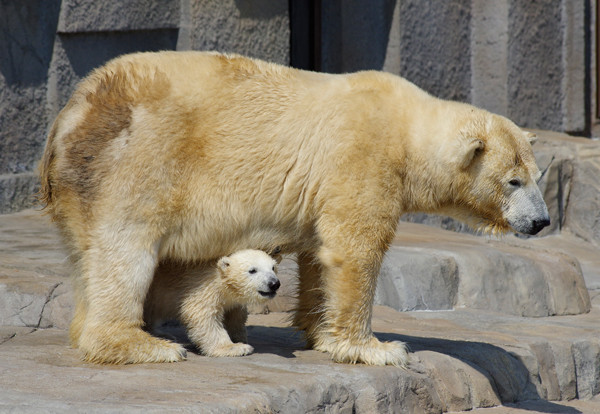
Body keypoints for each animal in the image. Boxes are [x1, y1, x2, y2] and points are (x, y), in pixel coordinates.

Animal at [39, 51, 552, 366]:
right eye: (514, 180)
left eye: (537, 176)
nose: (542, 220)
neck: (408, 130)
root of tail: (68, 116)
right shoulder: (361, 157)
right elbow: (354, 249)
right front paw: (378, 348)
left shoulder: (321, 186)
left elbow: (319, 255)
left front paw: (320, 331)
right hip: (132, 164)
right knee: (124, 249)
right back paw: (144, 344)